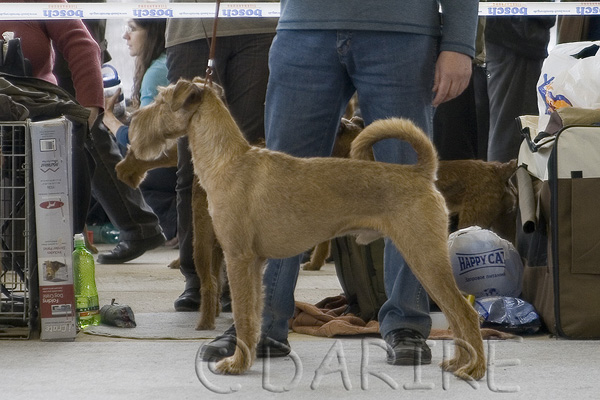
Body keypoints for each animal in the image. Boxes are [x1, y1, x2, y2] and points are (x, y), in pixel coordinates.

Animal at [127, 78, 488, 382]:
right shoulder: (254, 263)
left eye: (160, 100)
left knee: (466, 313)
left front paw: (235, 364)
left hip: (424, 256)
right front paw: (247, 357)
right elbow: (253, 315)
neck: (228, 161)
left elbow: (242, 316)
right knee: (455, 315)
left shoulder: (238, 258)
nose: (132, 119)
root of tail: (421, 173)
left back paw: (474, 369)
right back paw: (457, 362)